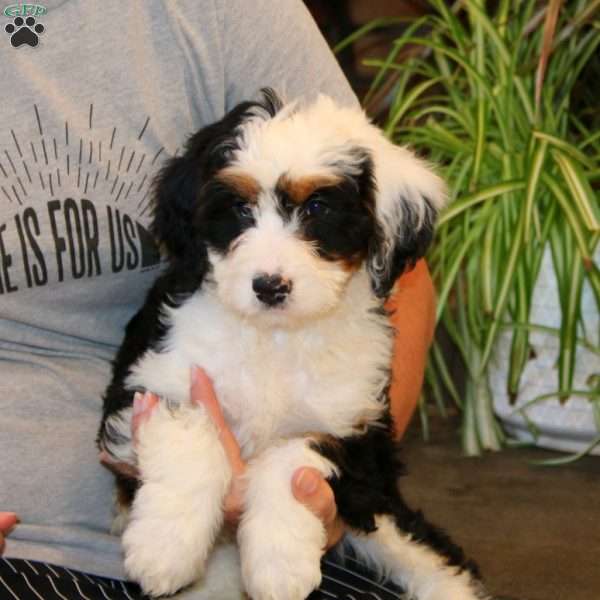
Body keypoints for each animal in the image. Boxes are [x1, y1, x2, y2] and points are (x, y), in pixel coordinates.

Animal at [95, 90, 488, 600]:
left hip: (383, 509)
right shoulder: (157, 379)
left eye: (317, 208)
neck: (276, 335)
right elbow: (193, 438)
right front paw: (165, 546)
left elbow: (290, 458)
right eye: (239, 209)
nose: (269, 286)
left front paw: (280, 565)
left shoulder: (353, 428)